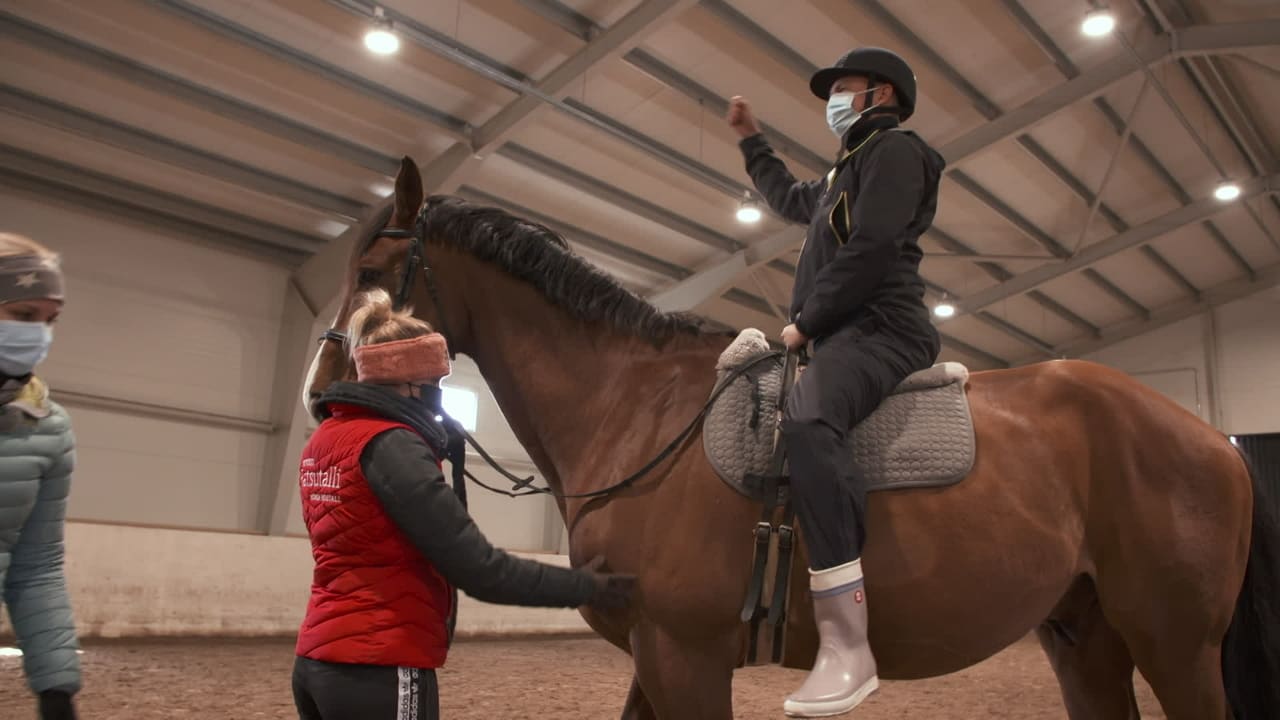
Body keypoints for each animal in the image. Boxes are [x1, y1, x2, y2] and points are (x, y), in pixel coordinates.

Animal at [307, 158, 1280, 717]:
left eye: (373, 270)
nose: (321, 396)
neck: (635, 407)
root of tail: (1214, 440)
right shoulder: (653, 656)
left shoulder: (686, 655)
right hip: (1086, 638)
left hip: (1175, 644)